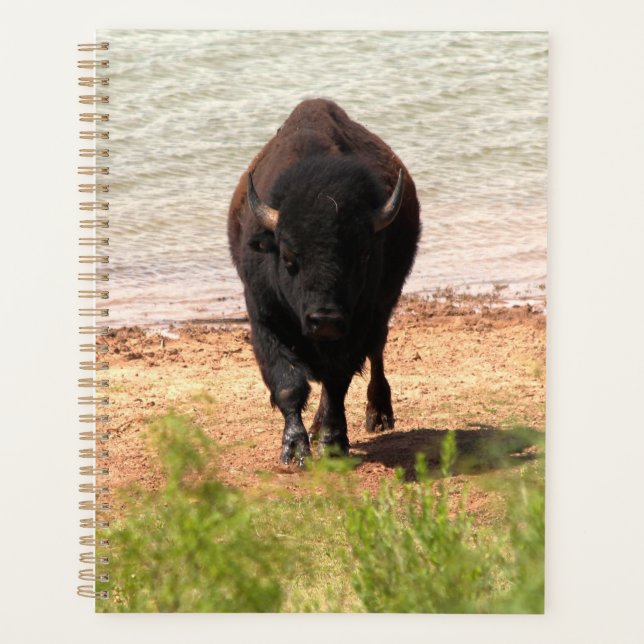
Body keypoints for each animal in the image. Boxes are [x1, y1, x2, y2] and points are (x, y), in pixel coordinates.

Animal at [228, 99, 420, 464]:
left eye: (363, 256)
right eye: (289, 257)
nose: (325, 320)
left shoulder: (357, 325)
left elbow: (336, 382)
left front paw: (331, 443)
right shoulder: (265, 320)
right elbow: (289, 385)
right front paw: (294, 450)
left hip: (383, 309)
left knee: (377, 353)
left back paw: (378, 415)